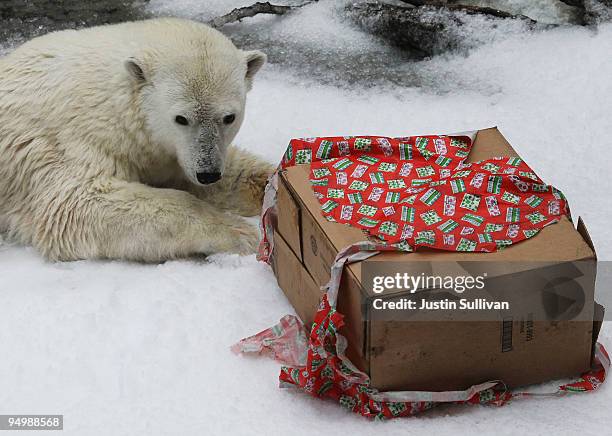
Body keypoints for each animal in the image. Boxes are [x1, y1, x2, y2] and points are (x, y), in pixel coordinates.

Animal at [0, 18, 274, 260]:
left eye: (229, 117)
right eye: (181, 118)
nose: (208, 173)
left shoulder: (168, 152)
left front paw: (269, 183)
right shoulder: (71, 144)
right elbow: (78, 203)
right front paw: (239, 231)